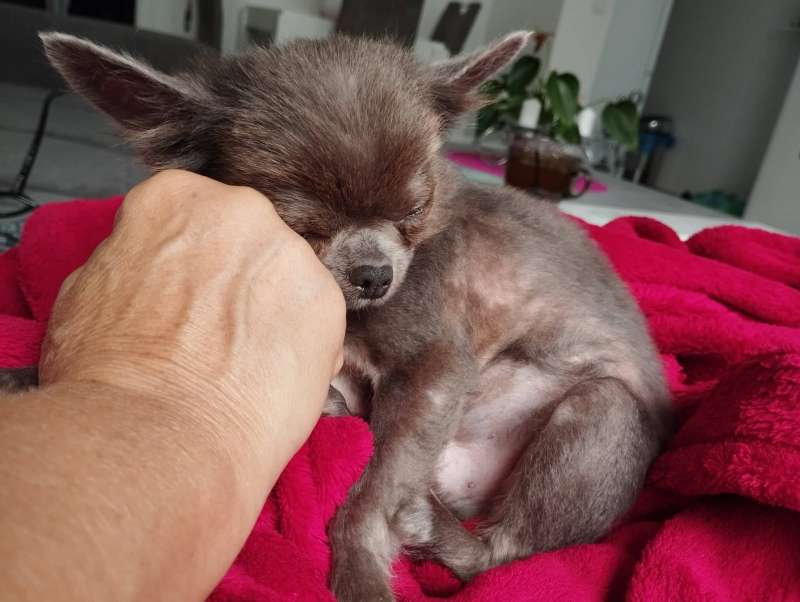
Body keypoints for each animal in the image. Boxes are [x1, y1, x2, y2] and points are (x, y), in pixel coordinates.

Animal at [2, 31, 672, 601]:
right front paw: (21, 377)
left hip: (601, 412)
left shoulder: (434, 366)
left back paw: (435, 528)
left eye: (416, 208)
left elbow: (369, 498)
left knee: (501, 552)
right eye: (301, 220)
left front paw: (360, 571)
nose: (375, 275)